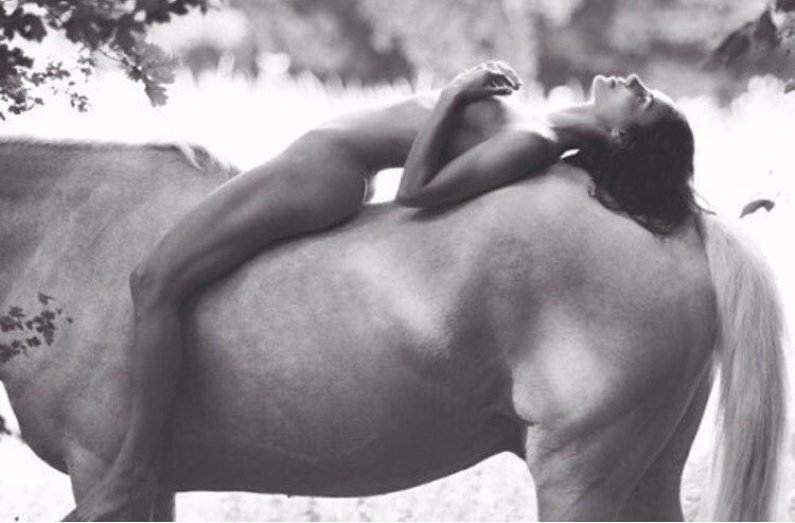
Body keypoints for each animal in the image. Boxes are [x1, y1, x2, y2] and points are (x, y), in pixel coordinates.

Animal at [0, 138, 786, 521]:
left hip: (579, 475)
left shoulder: (104, 473)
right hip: (647, 474)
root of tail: (678, 225)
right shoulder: (154, 486)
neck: (68, 225)